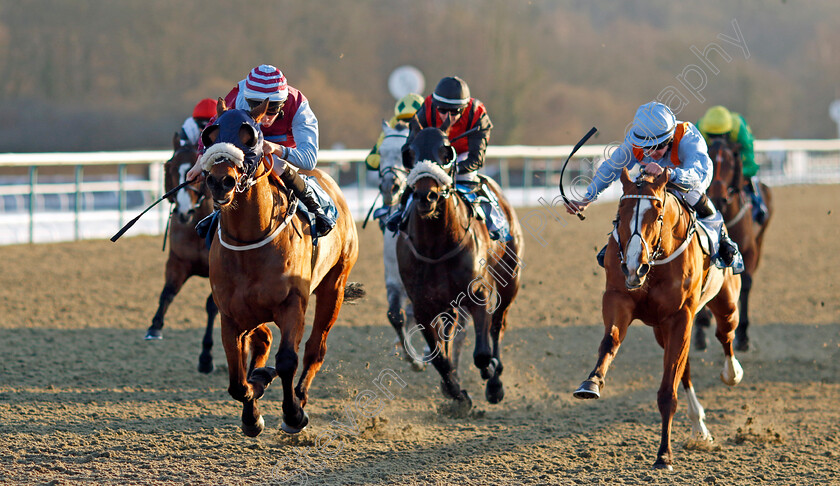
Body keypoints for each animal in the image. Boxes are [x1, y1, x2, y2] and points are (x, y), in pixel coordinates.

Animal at [145, 135, 218, 374]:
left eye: (203, 172)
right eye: (170, 167)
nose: (184, 212)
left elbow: (212, 306)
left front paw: (206, 356)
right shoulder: (178, 261)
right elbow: (167, 293)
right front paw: (155, 327)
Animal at [205, 98, 362, 436]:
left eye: (250, 136)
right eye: (210, 134)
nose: (220, 181)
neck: (251, 241)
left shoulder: (292, 304)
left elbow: (288, 359)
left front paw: (293, 415)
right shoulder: (231, 314)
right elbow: (238, 381)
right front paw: (252, 413)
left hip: (335, 285)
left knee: (316, 348)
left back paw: (300, 395)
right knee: (263, 341)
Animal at [396, 121, 524, 410]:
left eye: (446, 152)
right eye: (410, 153)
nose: (426, 196)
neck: (437, 247)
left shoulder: (478, 294)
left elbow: (482, 353)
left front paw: (490, 375)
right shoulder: (422, 306)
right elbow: (439, 358)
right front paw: (456, 393)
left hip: (510, 280)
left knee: (497, 326)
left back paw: (495, 377)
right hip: (447, 303)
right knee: (450, 333)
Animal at [576, 168, 744, 470]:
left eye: (656, 213)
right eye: (620, 212)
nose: (634, 266)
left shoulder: (681, 316)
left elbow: (667, 391)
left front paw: (664, 454)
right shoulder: (618, 298)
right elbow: (610, 341)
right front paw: (592, 382)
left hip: (726, 302)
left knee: (725, 335)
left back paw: (732, 374)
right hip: (661, 329)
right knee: (684, 367)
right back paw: (699, 428)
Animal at [696, 139, 776, 352]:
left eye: (732, 164)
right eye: (709, 160)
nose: (718, 197)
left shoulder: (749, 250)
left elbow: (746, 283)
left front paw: (743, 336)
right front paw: (700, 330)